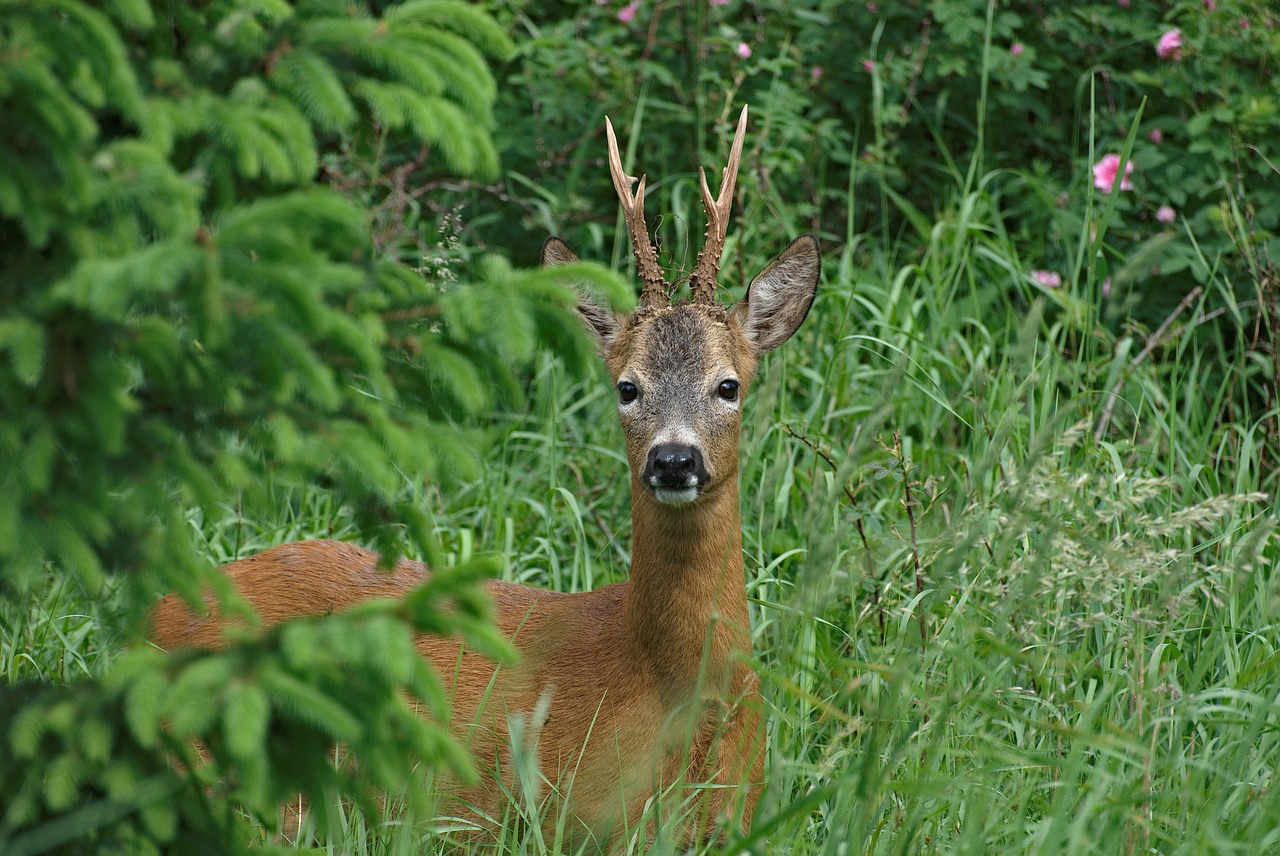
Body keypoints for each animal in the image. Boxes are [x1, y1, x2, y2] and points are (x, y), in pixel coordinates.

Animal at [149, 106, 824, 849]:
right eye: (627, 387)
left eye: (728, 385)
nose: (674, 460)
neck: (671, 690)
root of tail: (153, 617)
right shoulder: (570, 820)